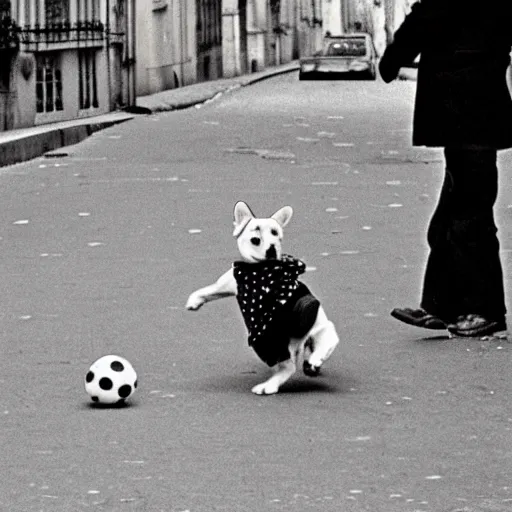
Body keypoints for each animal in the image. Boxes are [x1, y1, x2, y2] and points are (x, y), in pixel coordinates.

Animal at [185, 202, 340, 394]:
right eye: (255, 240)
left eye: (276, 235)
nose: (272, 248)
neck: (261, 270)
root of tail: (301, 344)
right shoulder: (228, 285)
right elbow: (209, 291)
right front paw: (195, 301)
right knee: (296, 361)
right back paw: (303, 367)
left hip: (304, 334)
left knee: (317, 346)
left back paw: (275, 383)